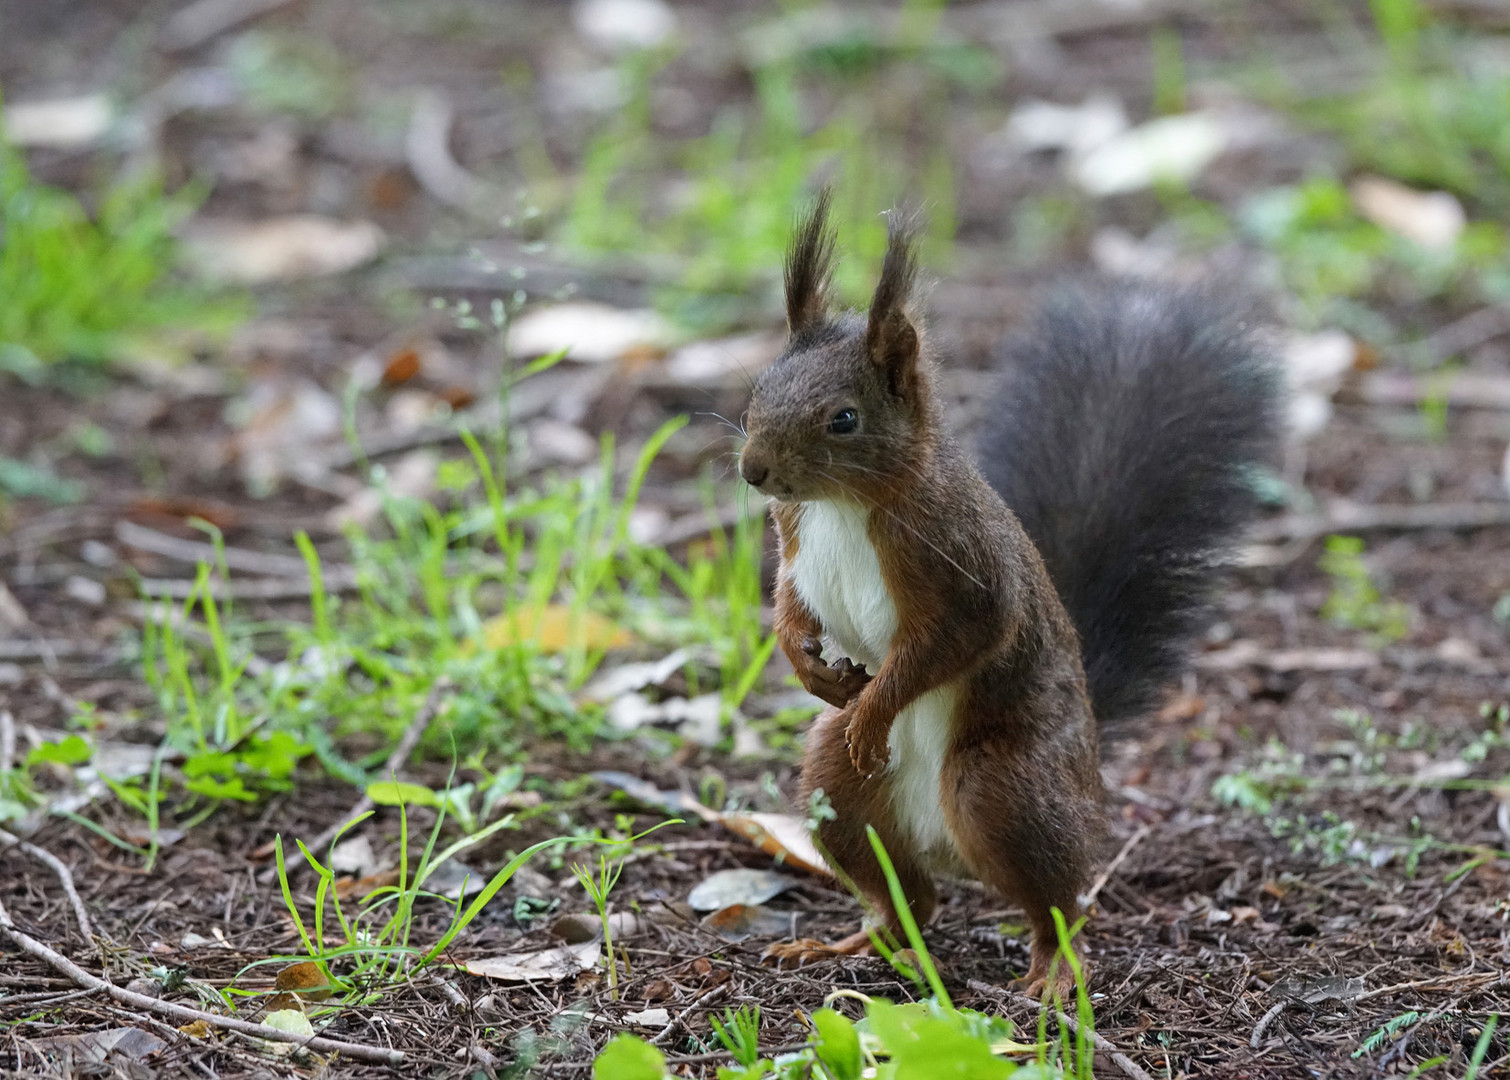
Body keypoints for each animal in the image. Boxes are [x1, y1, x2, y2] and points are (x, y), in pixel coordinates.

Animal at [736, 192, 1280, 996]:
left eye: (844, 419)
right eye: (756, 396)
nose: (754, 471)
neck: (842, 504)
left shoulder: (962, 565)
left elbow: (960, 636)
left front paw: (876, 706)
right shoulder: (794, 534)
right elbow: (789, 606)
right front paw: (809, 666)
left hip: (1003, 788)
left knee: (1058, 904)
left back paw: (1051, 971)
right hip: (835, 792)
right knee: (910, 898)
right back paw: (851, 943)